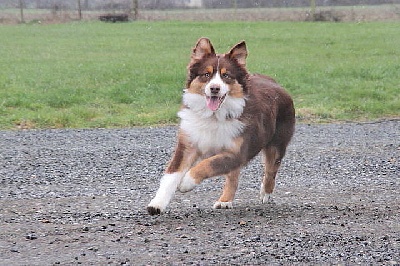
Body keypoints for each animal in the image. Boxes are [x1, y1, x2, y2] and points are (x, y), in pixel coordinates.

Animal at [147, 37, 294, 215]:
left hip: (277, 144)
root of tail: (275, 82)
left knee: (270, 171)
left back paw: (265, 193)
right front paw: (157, 204)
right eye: (206, 74)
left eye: (226, 75)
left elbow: (207, 165)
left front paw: (186, 182)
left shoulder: (237, 152)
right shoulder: (188, 145)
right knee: (234, 177)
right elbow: (171, 175)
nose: (214, 88)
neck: (213, 117)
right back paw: (225, 201)